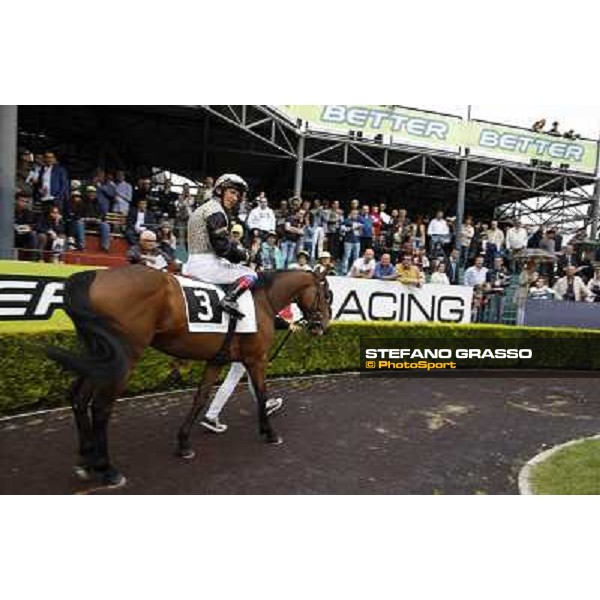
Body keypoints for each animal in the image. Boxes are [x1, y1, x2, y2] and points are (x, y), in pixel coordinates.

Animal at [47, 268, 332, 488]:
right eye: (327, 295)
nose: (323, 326)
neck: (263, 300)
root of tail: (93, 275)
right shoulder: (256, 359)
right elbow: (261, 393)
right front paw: (269, 432)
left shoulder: (217, 360)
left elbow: (201, 397)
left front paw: (184, 442)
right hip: (124, 356)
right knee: (101, 407)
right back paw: (107, 469)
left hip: (101, 354)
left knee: (78, 398)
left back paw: (86, 460)